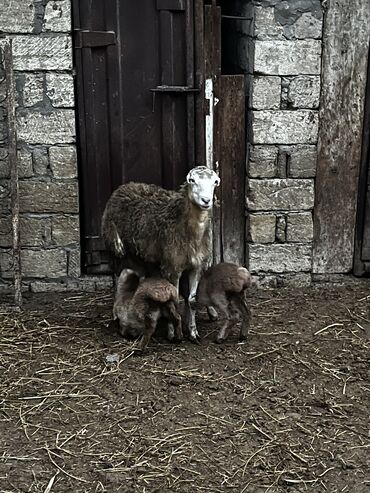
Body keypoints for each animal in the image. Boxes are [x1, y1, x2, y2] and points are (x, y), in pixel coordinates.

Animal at [102, 164, 220, 338]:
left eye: (215, 182)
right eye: (192, 180)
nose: (206, 200)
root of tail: (126, 186)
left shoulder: (196, 266)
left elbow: (191, 300)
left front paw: (193, 332)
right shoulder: (172, 267)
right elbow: (173, 301)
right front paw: (173, 333)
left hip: (144, 255)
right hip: (117, 249)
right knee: (119, 277)